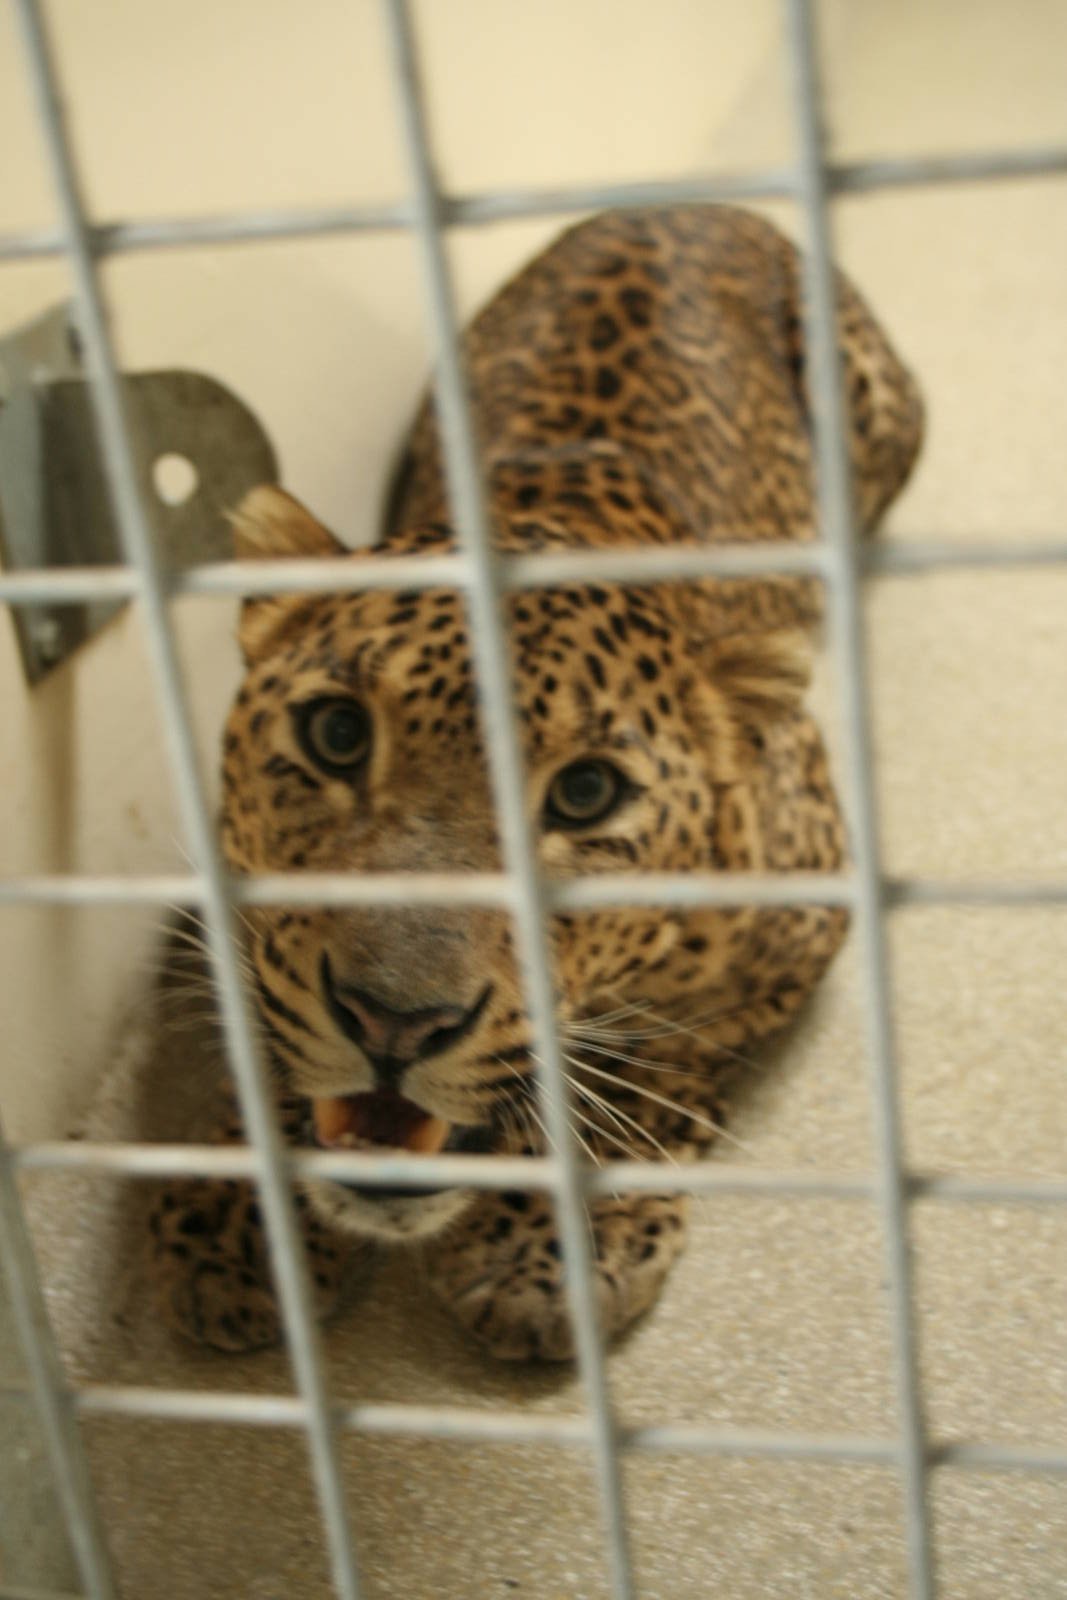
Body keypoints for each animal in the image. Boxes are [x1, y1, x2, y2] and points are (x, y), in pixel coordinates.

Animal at [150, 205, 922, 1361]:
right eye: (337, 734)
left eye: (585, 795)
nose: (392, 1022)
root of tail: (688, 203)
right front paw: (243, 1210)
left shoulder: (804, 917)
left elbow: (645, 1060)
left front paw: (544, 1240)